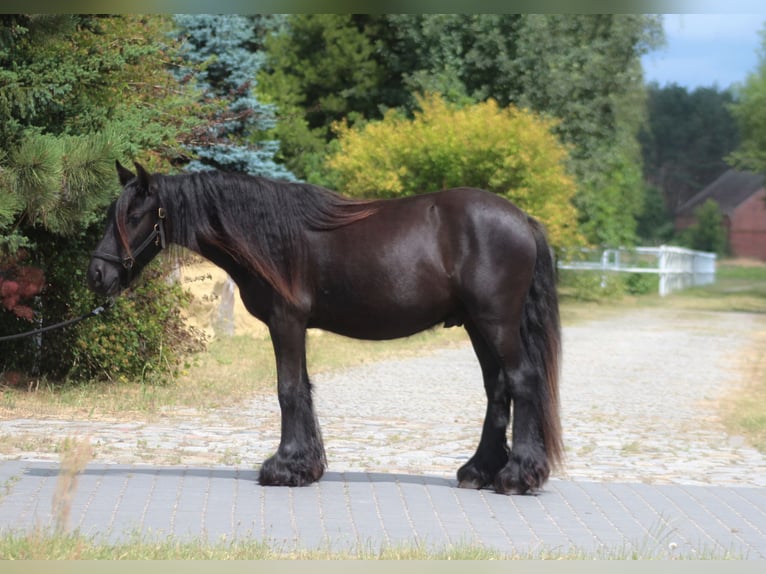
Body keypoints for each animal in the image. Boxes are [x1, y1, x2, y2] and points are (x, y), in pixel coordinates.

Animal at [88, 161, 563, 495]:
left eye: (134, 216)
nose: (96, 275)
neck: (272, 236)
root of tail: (522, 220)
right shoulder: (292, 326)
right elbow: (303, 388)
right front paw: (305, 466)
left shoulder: (286, 321)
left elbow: (288, 389)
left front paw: (283, 468)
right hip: (478, 326)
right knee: (497, 389)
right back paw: (479, 471)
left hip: (495, 323)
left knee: (522, 382)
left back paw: (516, 475)